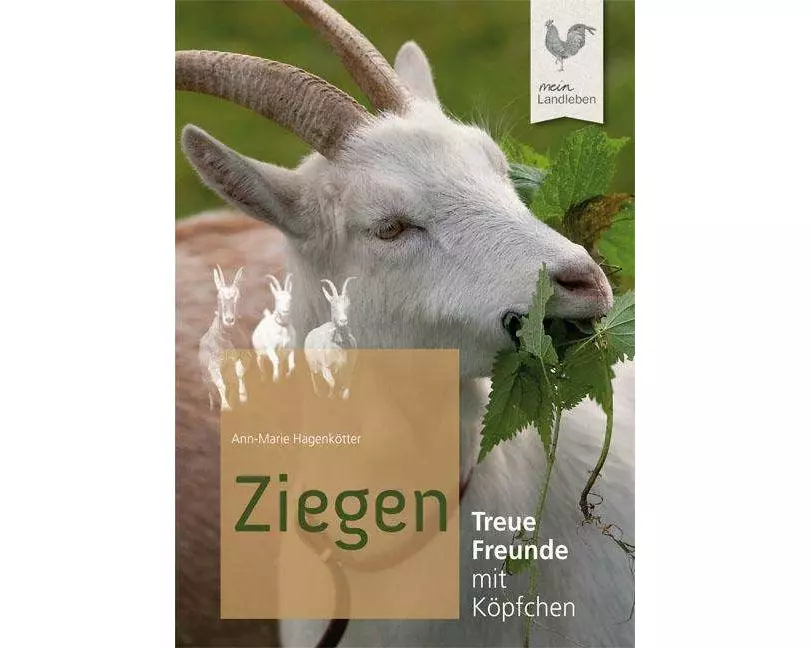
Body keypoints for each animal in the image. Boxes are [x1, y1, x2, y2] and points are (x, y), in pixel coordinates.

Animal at [198, 265, 249, 411]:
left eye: (238, 296)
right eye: (219, 296)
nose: (229, 320)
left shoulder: (241, 357)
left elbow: (240, 372)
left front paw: (243, 396)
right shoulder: (213, 365)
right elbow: (221, 384)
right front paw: (226, 407)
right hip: (206, 379)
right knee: (211, 391)